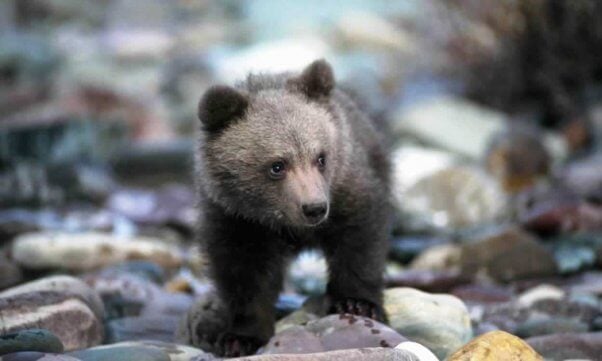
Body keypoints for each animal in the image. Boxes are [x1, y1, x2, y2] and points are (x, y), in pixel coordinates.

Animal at [191, 58, 390, 354]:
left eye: (321, 158)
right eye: (277, 165)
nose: (314, 207)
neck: (283, 223)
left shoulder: (347, 191)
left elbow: (360, 240)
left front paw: (357, 302)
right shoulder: (237, 220)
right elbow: (245, 274)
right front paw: (241, 337)